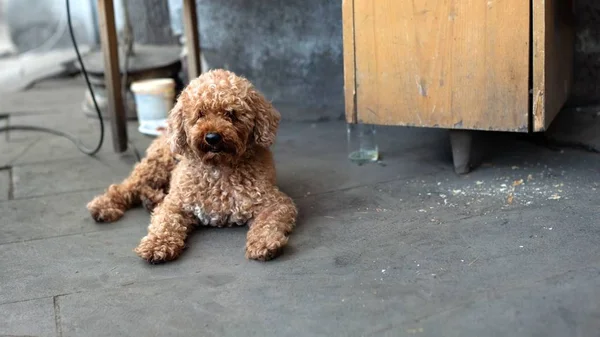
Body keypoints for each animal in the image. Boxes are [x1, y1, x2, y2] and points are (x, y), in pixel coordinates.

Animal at [86, 68, 298, 262]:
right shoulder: (176, 203)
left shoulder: (275, 202)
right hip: (157, 165)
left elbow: (268, 222)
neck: (218, 168)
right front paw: (157, 244)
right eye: (200, 114)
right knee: (128, 186)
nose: (212, 137)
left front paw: (264, 243)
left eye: (231, 114)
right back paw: (104, 205)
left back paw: (150, 199)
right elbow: (165, 222)